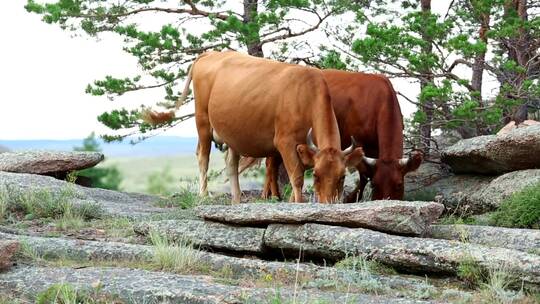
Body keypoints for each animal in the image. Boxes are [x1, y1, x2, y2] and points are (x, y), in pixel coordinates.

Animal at [262, 70, 422, 201]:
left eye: (399, 184)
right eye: (375, 185)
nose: (385, 200)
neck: (380, 101)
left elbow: (364, 176)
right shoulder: (360, 144)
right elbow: (364, 175)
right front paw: (350, 198)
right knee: (271, 164)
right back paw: (272, 196)